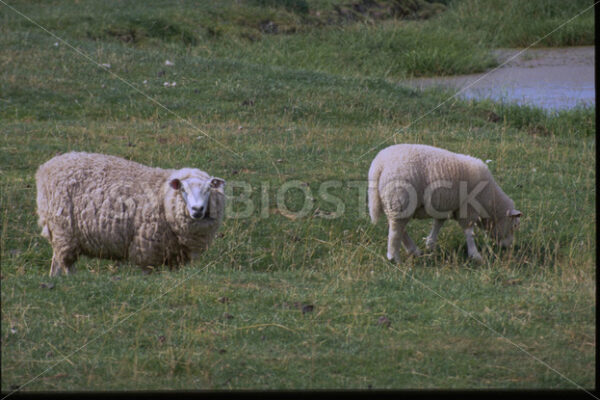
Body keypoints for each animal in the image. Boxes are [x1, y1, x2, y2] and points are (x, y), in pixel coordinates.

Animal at [35, 152, 227, 276]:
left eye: (208, 189)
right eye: (183, 190)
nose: (197, 210)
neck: (161, 194)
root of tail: (45, 168)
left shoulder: (174, 253)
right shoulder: (147, 247)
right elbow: (147, 272)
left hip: (59, 232)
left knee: (56, 260)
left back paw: (55, 280)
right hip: (64, 229)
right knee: (67, 262)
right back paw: (73, 280)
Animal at [366, 144, 520, 262]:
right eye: (514, 226)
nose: (509, 247)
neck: (489, 200)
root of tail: (379, 165)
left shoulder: (445, 205)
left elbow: (438, 224)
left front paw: (430, 243)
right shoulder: (467, 208)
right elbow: (469, 232)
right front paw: (475, 254)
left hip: (396, 204)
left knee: (399, 228)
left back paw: (413, 250)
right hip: (399, 200)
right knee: (395, 231)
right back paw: (394, 257)